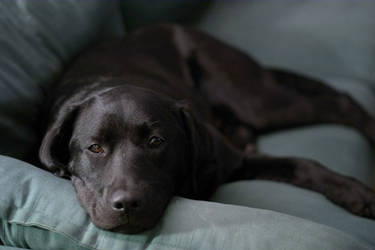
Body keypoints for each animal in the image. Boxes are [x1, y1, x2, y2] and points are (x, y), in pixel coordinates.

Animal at [39, 23, 375, 234]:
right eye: (95, 147)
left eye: (156, 141)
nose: (127, 204)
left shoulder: (234, 159)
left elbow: (305, 164)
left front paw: (356, 192)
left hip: (251, 99)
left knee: (341, 102)